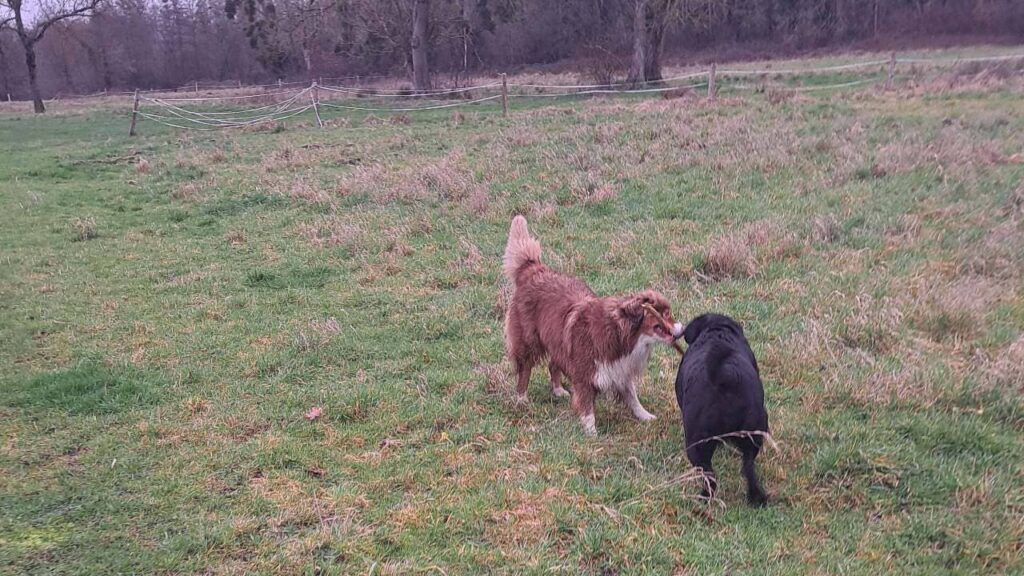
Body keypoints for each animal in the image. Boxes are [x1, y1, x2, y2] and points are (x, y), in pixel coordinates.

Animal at [501, 215, 684, 434]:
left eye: (669, 313)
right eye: (663, 315)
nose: (682, 330)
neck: (619, 334)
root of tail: (534, 268)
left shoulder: (619, 370)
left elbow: (632, 396)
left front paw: (644, 416)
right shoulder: (585, 373)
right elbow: (587, 405)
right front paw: (591, 433)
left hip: (559, 341)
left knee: (553, 364)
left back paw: (558, 390)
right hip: (529, 341)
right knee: (525, 370)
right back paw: (521, 399)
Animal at [671, 311, 770, 504]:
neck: (716, 331)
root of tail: (725, 377)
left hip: (696, 444)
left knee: (710, 476)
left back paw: (703, 497)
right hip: (754, 433)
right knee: (749, 468)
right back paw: (756, 497)